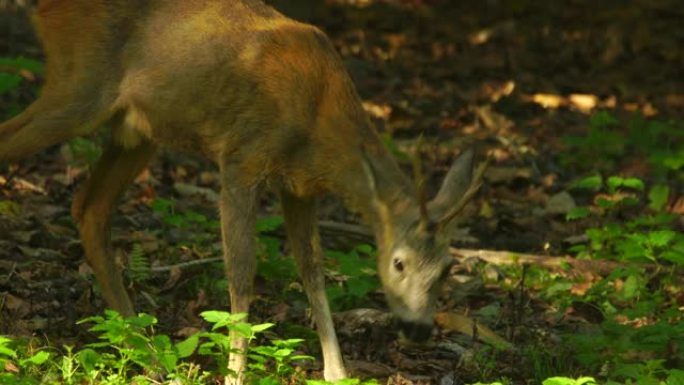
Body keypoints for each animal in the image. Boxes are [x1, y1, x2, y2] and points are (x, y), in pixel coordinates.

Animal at [2, 0, 488, 380]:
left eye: (447, 268)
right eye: (398, 262)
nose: (419, 330)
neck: (318, 117)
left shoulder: (301, 188)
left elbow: (312, 269)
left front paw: (336, 371)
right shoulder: (241, 158)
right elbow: (241, 272)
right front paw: (235, 373)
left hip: (138, 129)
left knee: (89, 207)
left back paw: (148, 351)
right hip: (78, 85)